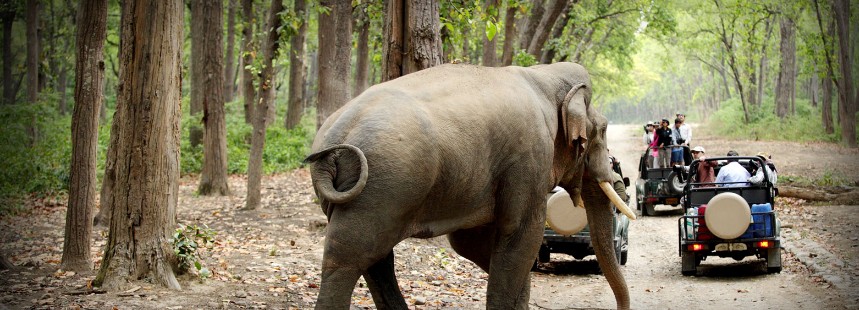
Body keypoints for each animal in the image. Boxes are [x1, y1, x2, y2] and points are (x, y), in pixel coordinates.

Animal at [306, 61, 636, 308]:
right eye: (603, 130)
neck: (543, 75)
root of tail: (335, 138)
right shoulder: (529, 156)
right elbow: (522, 235)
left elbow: (471, 241)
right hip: (382, 188)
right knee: (349, 258)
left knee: (375, 259)